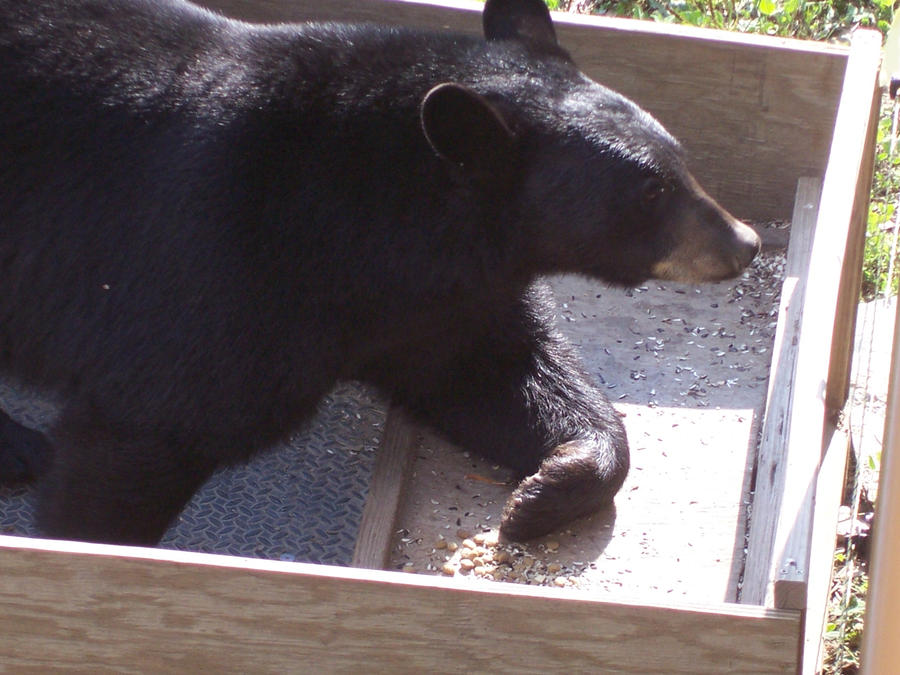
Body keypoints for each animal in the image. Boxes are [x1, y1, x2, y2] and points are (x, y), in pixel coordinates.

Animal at [0, 0, 760, 548]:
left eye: (680, 160)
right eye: (651, 191)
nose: (745, 243)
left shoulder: (439, 302)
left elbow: (501, 369)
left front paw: (547, 487)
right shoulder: (216, 264)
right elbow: (145, 431)